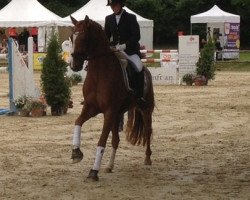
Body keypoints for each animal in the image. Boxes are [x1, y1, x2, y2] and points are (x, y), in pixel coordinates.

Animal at [70, 16, 154, 180]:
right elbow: (77, 122)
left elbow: (102, 141)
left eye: (83, 38)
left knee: (148, 131)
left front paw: (93, 171)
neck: (99, 73)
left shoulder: (108, 111)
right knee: (116, 140)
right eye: (71, 37)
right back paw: (109, 166)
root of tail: (147, 71)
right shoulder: (91, 108)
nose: (74, 65)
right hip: (117, 114)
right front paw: (76, 152)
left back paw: (147, 158)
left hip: (146, 109)